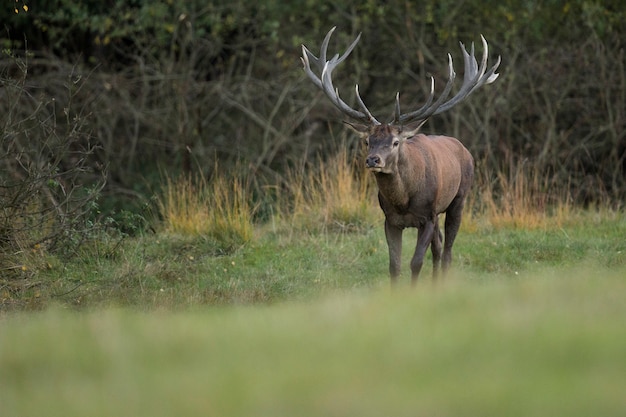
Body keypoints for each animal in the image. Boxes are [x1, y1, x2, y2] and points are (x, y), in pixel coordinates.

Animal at [300, 26, 500, 286]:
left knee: (447, 250)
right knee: (439, 245)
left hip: (459, 198)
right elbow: (394, 265)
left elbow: (416, 262)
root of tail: (463, 148)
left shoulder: (427, 216)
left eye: (395, 142)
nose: (373, 160)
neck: (404, 202)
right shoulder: (390, 220)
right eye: (367, 141)